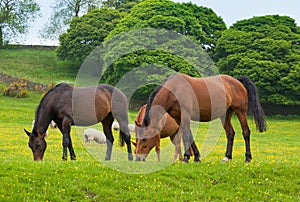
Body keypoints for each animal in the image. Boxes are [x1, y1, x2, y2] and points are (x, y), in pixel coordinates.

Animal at [137, 73, 266, 163]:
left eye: (144, 139)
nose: (138, 158)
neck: (174, 91)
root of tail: (237, 81)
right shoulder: (179, 118)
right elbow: (189, 135)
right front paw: (196, 157)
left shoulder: (185, 115)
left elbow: (186, 135)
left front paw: (186, 157)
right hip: (225, 115)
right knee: (230, 133)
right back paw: (227, 157)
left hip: (241, 112)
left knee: (246, 132)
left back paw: (247, 158)